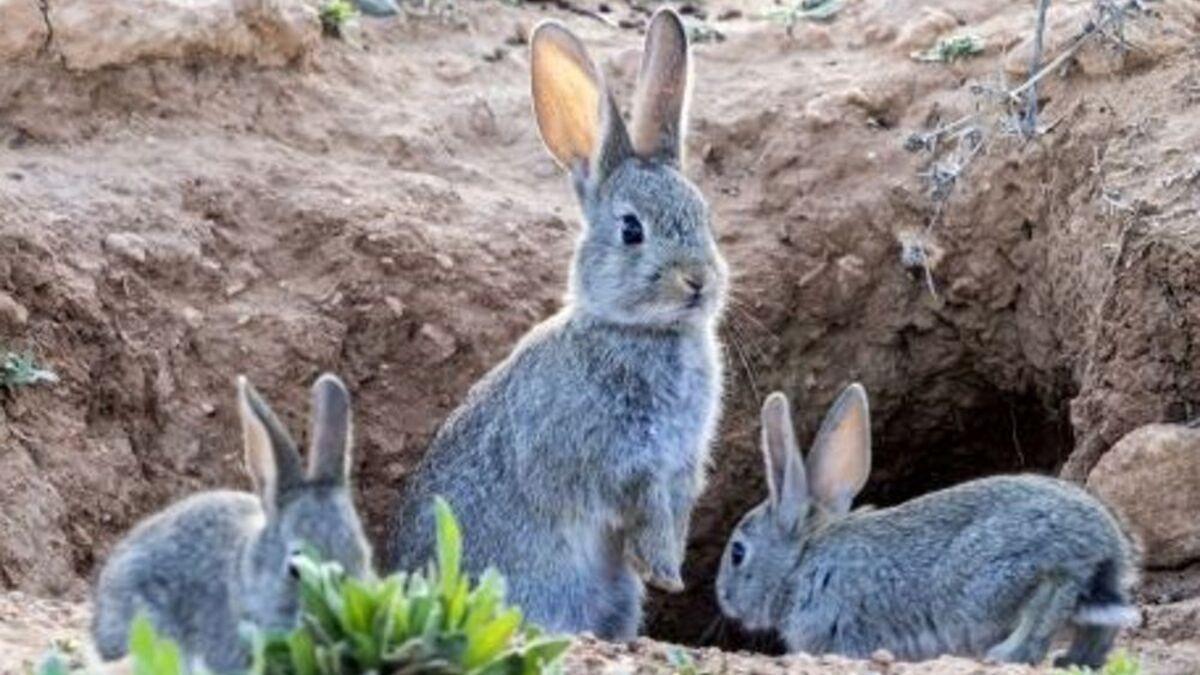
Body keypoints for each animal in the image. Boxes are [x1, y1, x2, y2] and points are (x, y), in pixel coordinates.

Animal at [388, 9, 724, 638]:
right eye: (632, 230)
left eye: (705, 217)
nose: (697, 281)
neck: (643, 332)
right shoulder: (617, 462)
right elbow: (642, 506)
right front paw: (662, 571)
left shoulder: (683, 466)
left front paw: (668, 574)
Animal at [715, 384, 1137, 667]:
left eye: (737, 553)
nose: (723, 597)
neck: (801, 562)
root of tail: (1103, 544)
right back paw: (1075, 659)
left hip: (993, 578)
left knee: (1049, 597)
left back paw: (1004, 654)